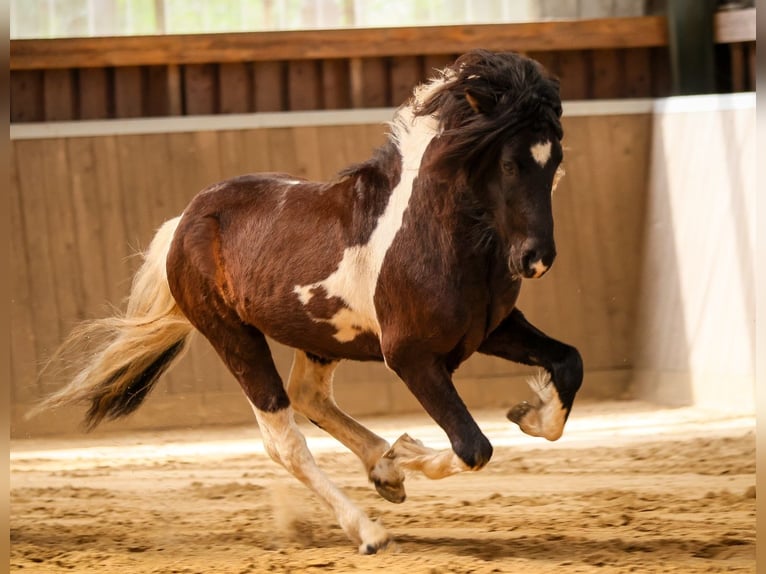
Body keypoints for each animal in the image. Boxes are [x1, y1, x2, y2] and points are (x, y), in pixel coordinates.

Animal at [32, 49, 583, 554]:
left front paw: (525, 413)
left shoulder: (492, 328)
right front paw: (408, 452)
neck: (436, 236)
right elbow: (473, 446)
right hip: (234, 338)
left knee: (308, 397)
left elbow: (568, 364)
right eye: (509, 163)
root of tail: (185, 220)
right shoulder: (410, 356)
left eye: (555, 159)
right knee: (284, 440)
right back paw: (369, 530)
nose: (536, 258)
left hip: (320, 337)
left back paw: (384, 474)